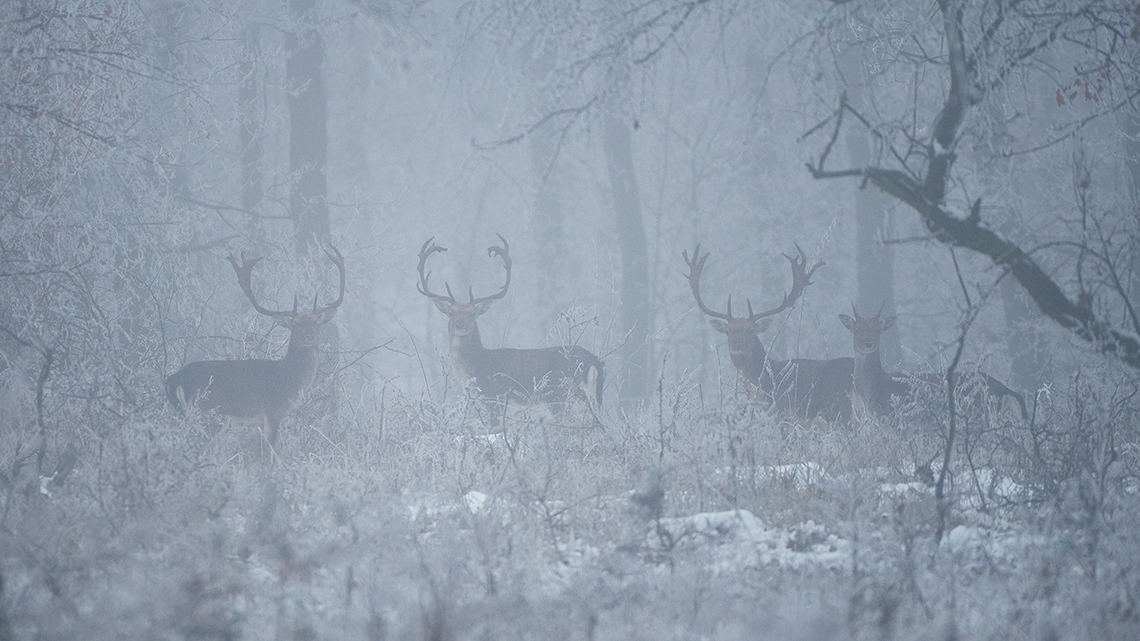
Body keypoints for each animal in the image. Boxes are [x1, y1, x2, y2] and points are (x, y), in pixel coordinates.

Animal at [164, 244, 342, 444]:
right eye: (296, 324)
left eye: (316, 322)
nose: (310, 336)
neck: (290, 378)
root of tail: (174, 380)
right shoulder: (273, 412)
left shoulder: (257, 424)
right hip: (208, 413)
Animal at [414, 231, 601, 417]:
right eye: (451, 312)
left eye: (473, 313)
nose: (460, 324)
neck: (475, 366)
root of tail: (594, 361)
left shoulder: (493, 399)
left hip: (559, 395)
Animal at [839, 303, 1035, 419]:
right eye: (857, 329)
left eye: (878, 330)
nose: (868, 342)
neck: (874, 390)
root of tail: (1002, 388)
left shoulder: (893, 419)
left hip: (981, 413)